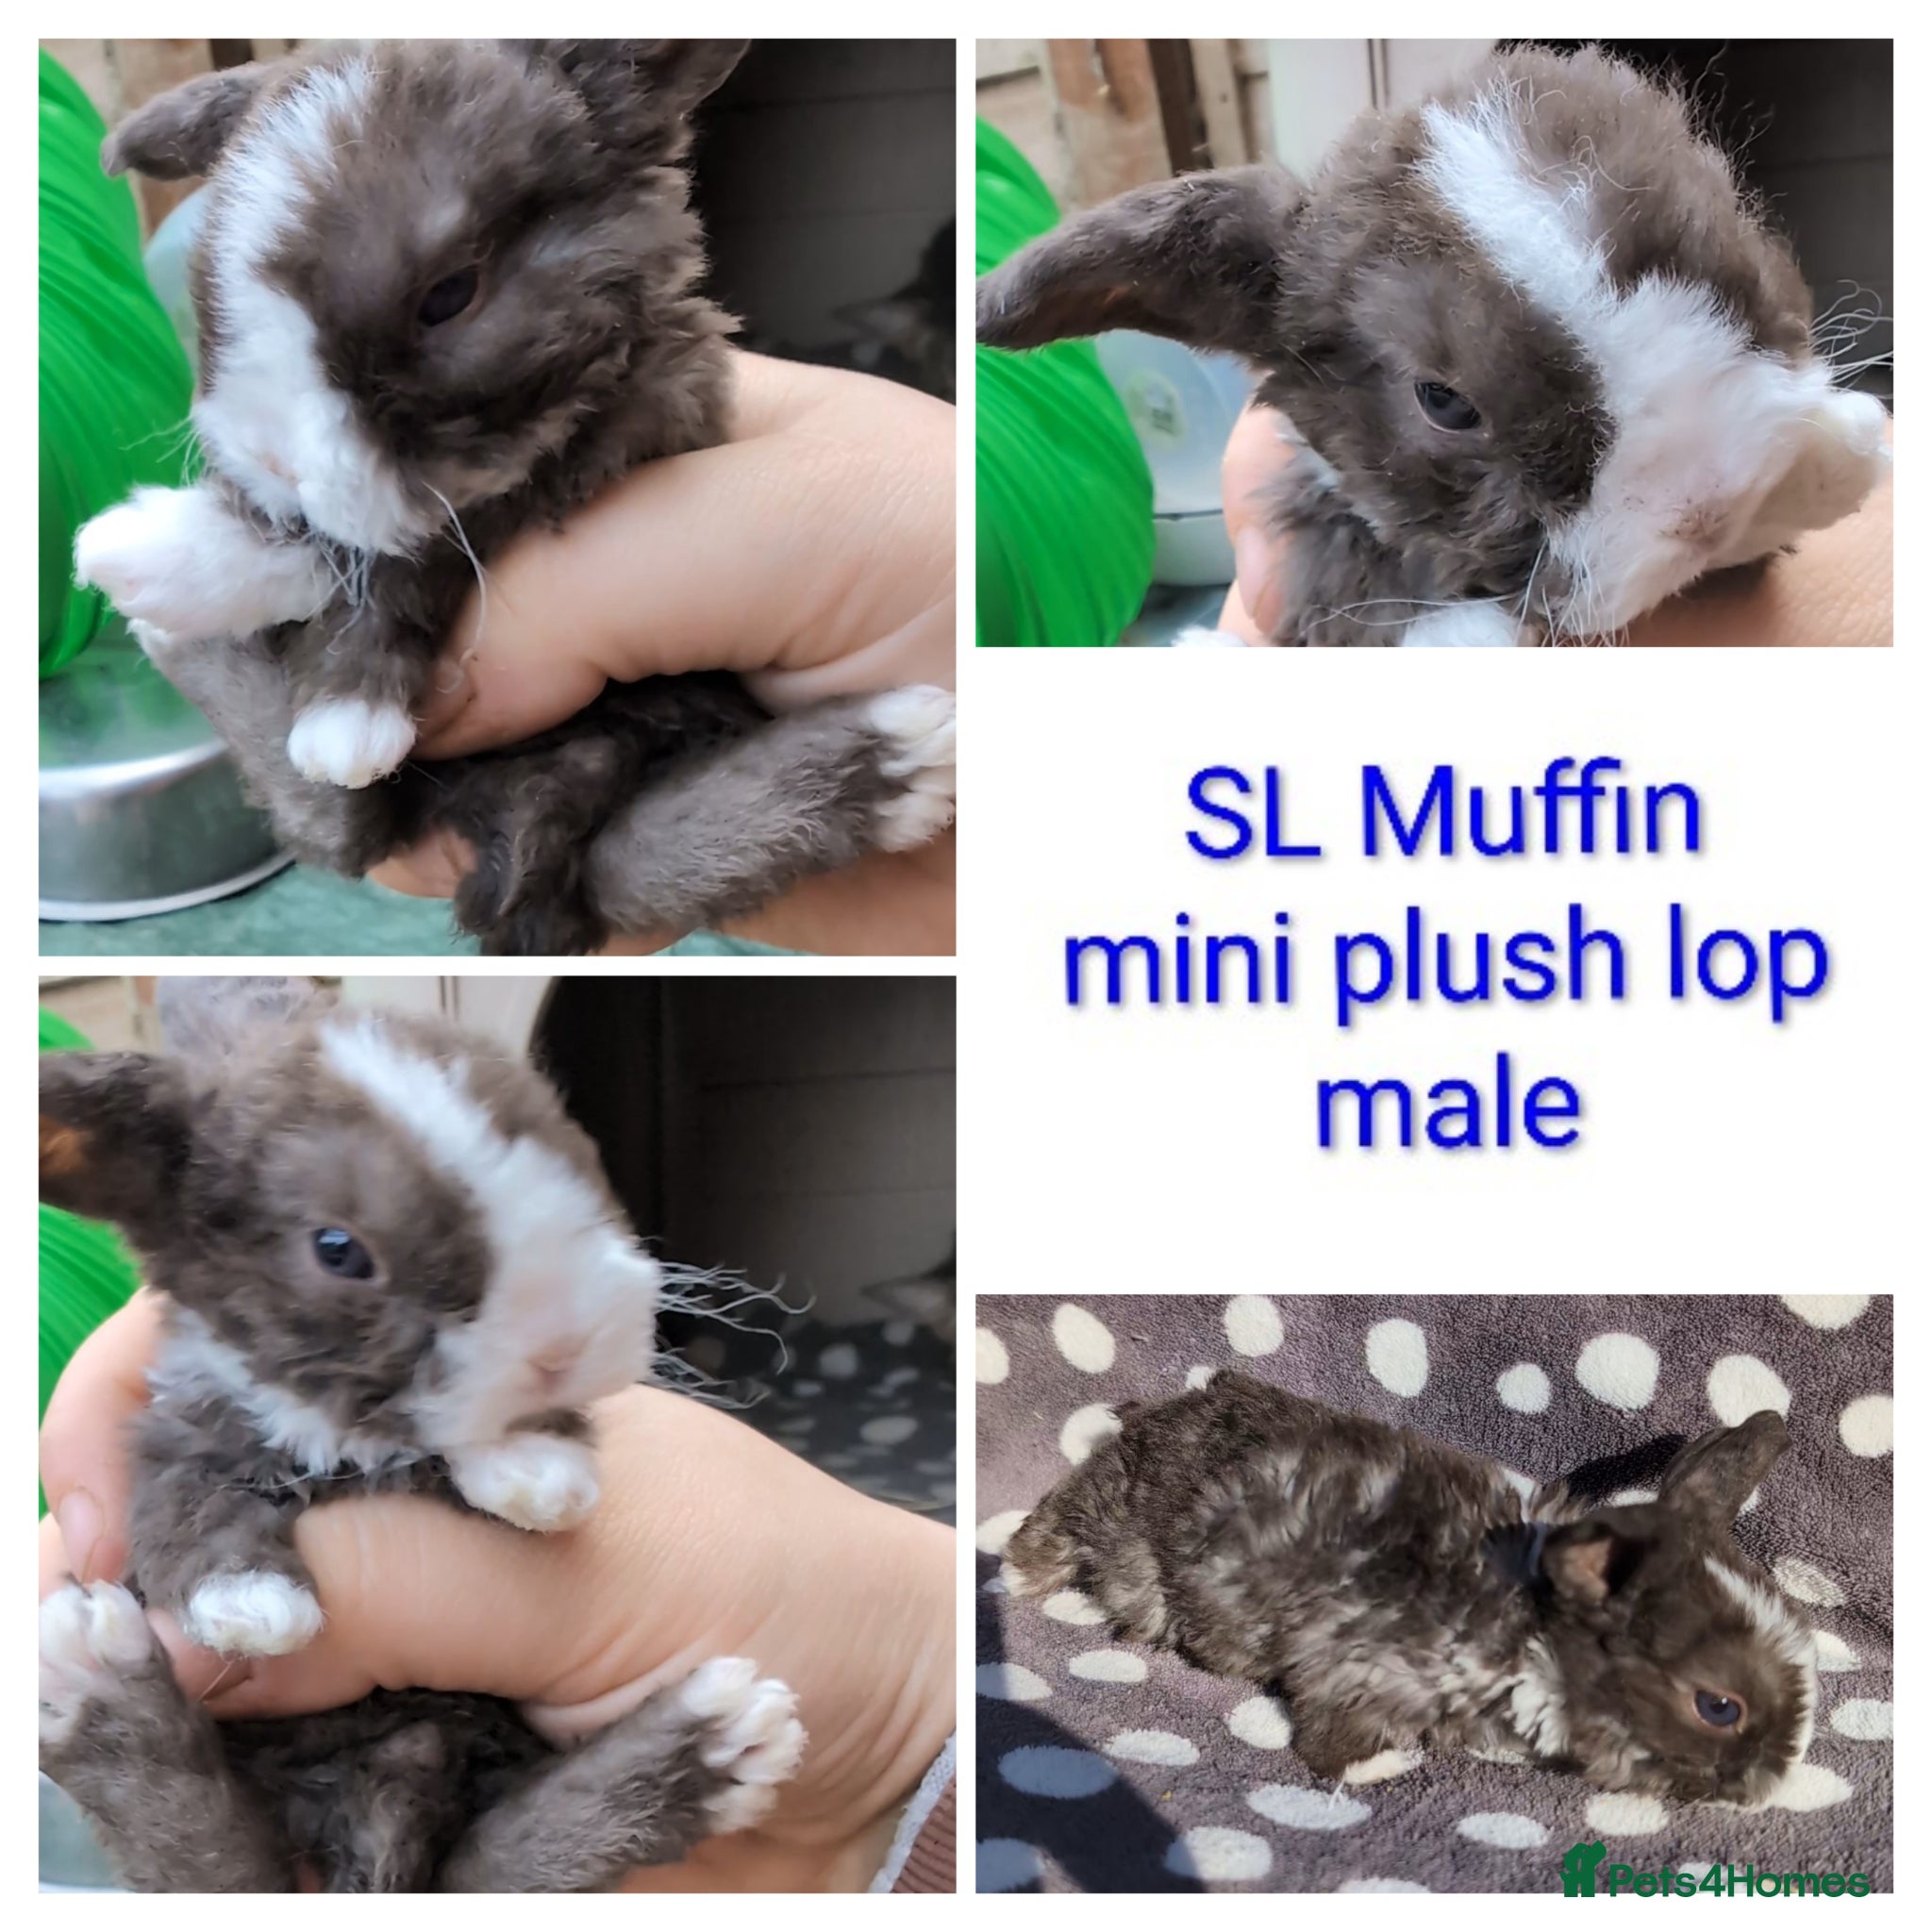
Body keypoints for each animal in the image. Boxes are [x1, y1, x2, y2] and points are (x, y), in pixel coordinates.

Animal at [38, 977, 806, 1891]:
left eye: (561, 1137)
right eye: (337, 1250)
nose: (567, 1344)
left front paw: (540, 1477)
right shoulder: (180, 1439)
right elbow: (191, 1509)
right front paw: (253, 1610)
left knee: (501, 1861)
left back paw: (720, 1741)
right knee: (217, 1859)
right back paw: (94, 1671)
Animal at [72, 40, 955, 954]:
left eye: (449, 295)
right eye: (209, 277)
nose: (272, 458)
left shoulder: (591, 456)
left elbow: (409, 545)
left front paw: (340, 713)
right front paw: (172, 550)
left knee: (624, 857)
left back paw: (904, 755)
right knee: (364, 830)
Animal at [1005, 1370, 1818, 1805]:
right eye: (1718, 1706)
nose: (1775, 1782)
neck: (1531, 1629)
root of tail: (1158, 1414)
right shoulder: (1361, 1669)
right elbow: (1331, 1743)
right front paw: (1389, 1765)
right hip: (1115, 1519)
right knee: (1062, 1522)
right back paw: (1015, 1572)